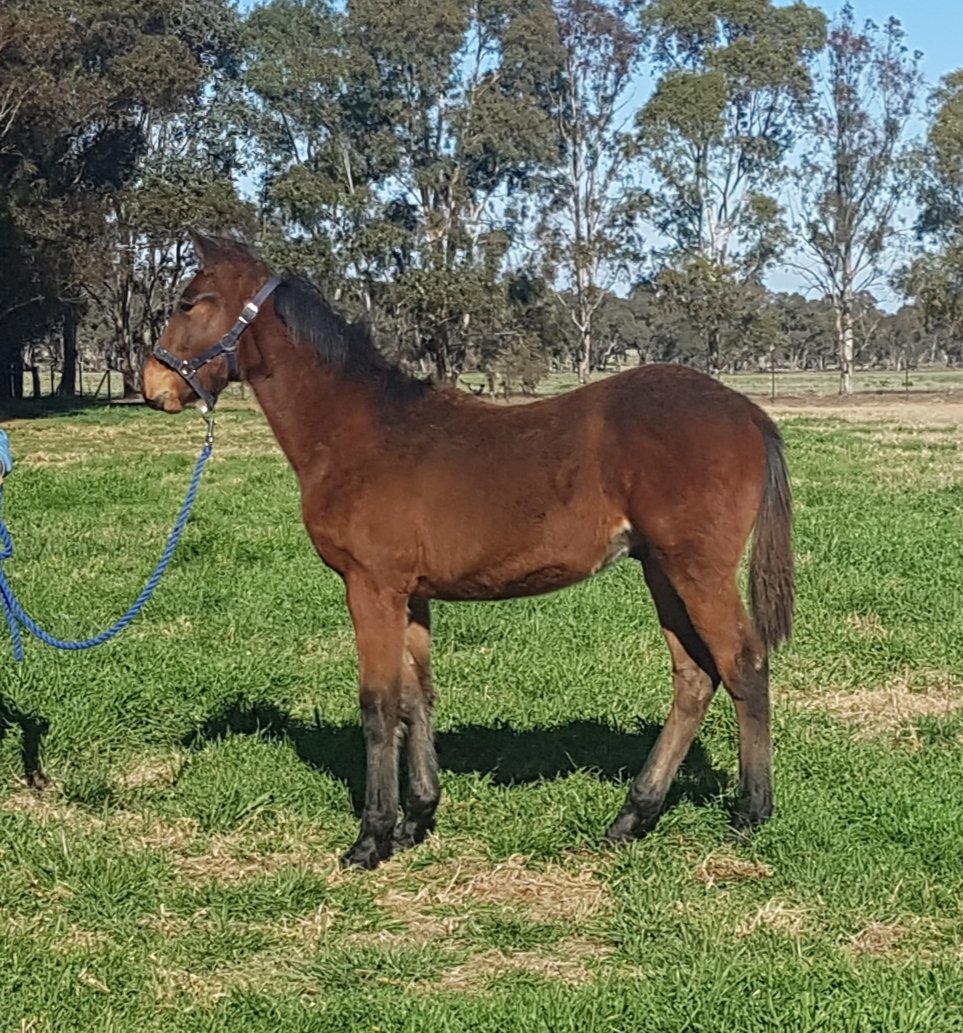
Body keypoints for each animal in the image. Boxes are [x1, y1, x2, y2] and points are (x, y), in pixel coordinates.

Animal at [142, 233, 794, 870]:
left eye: (188, 302)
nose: (154, 386)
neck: (357, 432)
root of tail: (748, 412)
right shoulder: (410, 595)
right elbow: (416, 698)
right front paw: (416, 820)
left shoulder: (370, 587)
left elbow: (378, 705)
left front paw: (370, 839)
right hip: (661, 570)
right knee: (695, 676)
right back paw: (633, 817)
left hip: (698, 569)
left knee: (743, 663)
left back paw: (750, 812)